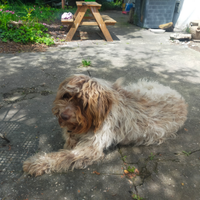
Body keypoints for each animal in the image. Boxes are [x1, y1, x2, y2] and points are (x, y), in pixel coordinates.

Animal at [23, 74, 188, 176]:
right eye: (66, 96)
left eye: (82, 103)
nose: (63, 115)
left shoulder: (91, 148)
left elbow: (64, 156)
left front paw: (37, 163)